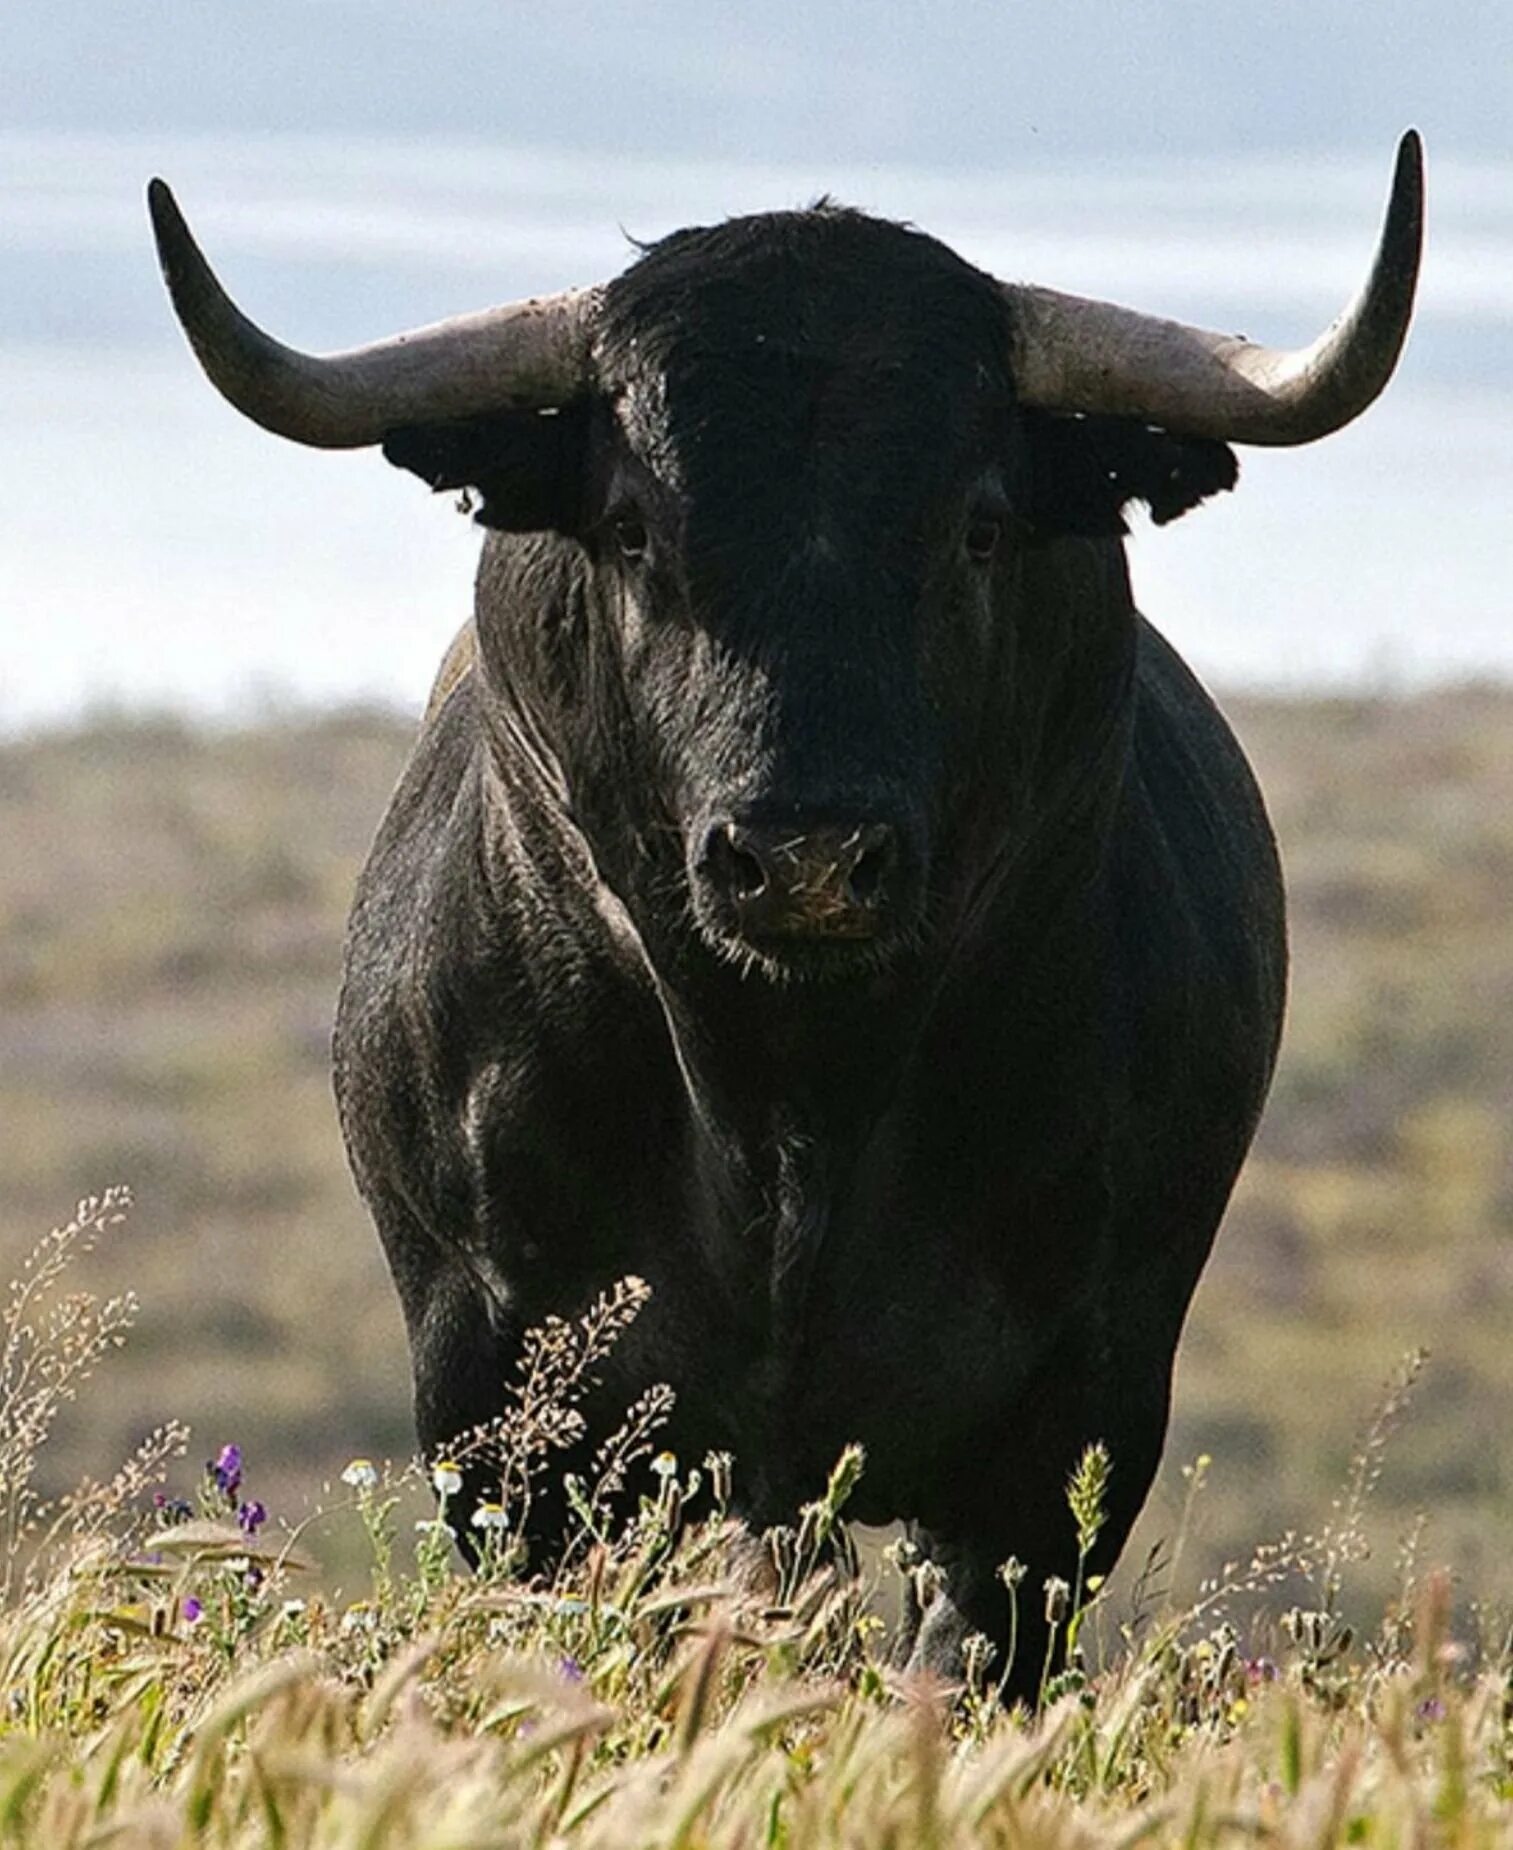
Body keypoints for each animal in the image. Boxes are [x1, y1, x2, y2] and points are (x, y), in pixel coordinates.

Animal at [147, 151, 1420, 1694]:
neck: (789, 1104)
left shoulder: (1072, 1417)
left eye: (976, 525)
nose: (803, 856)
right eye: (634, 526)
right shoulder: (504, 1406)